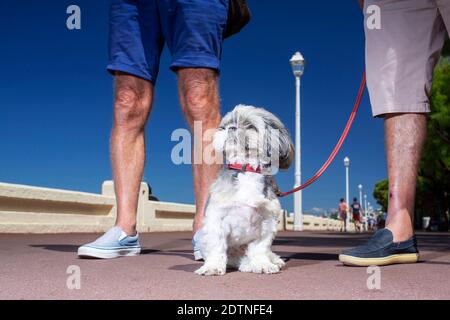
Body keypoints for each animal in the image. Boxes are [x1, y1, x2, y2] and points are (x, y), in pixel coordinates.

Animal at [195, 104, 294, 276]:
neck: (246, 169)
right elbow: (216, 247)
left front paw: (262, 264)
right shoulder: (216, 219)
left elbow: (260, 248)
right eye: (224, 126)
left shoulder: (266, 222)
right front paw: (212, 266)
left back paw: (272, 260)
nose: (231, 128)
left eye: (249, 125)